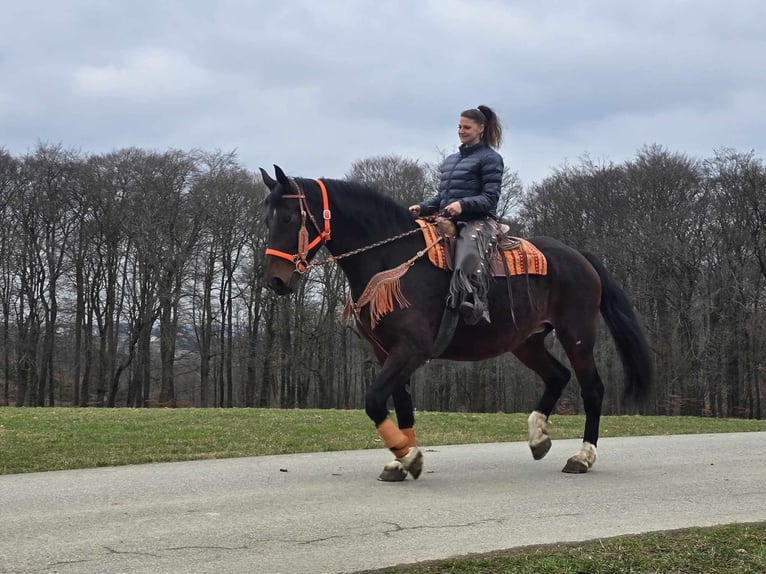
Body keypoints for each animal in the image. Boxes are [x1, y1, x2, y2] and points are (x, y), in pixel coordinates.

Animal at [262, 165, 656, 482]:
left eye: (288, 218)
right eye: (268, 219)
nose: (276, 281)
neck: (394, 260)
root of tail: (580, 256)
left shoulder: (412, 349)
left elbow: (374, 400)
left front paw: (410, 456)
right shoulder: (387, 352)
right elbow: (401, 404)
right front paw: (400, 460)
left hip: (577, 334)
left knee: (592, 389)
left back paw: (582, 456)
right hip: (526, 341)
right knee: (558, 376)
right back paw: (538, 437)